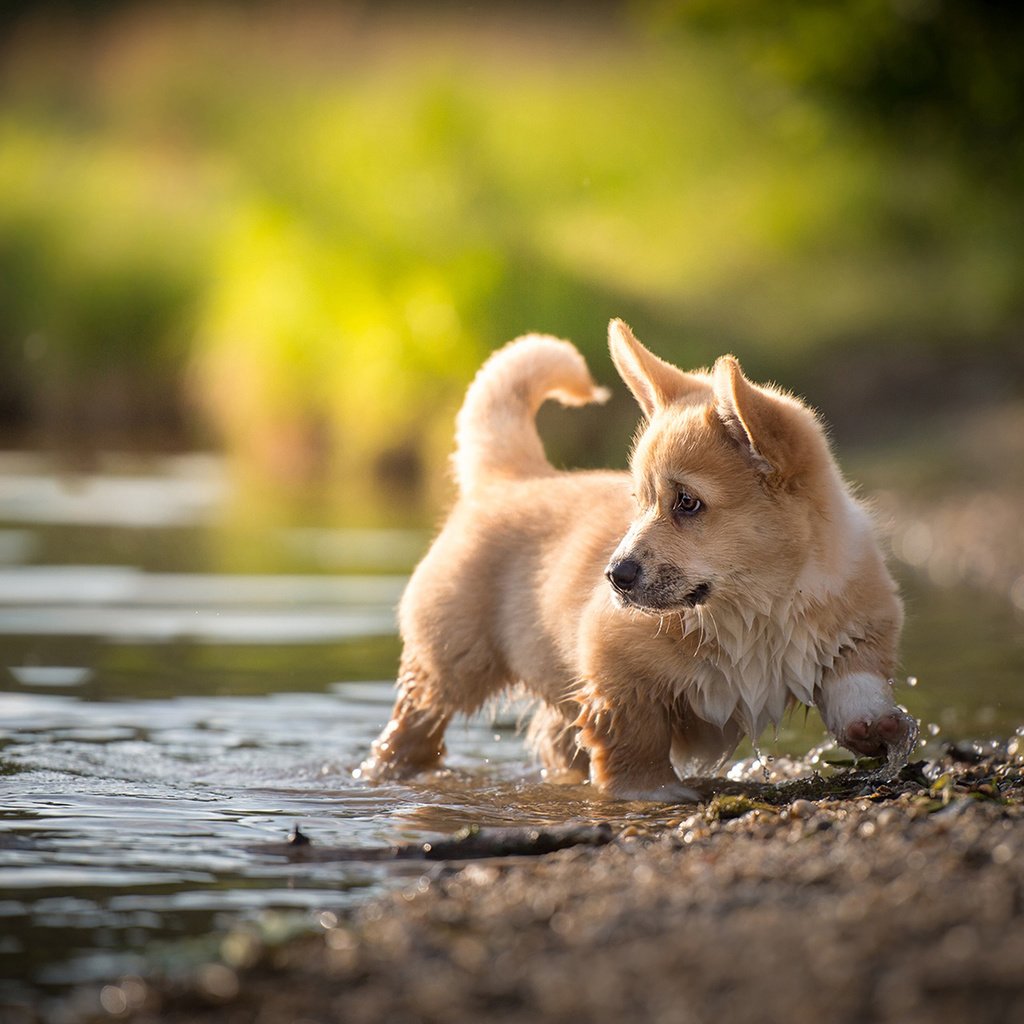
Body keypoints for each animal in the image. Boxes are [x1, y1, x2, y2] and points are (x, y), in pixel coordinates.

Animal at [356, 319, 917, 798]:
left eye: (687, 502)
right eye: (640, 500)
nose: (613, 577)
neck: (757, 611)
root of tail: (511, 478)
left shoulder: (859, 631)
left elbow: (856, 689)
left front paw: (880, 728)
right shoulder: (616, 672)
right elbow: (635, 741)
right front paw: (650, 792)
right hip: (449, 661)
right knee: (413, 726)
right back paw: (386, 771)